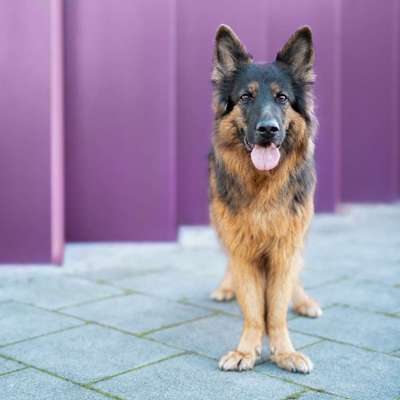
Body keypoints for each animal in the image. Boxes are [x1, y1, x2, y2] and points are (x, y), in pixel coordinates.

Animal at [209, 25, 322, 376]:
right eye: (246, 97)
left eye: (282, 98)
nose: (268, 129)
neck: (263, 184)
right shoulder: (243, 249)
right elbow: (254, 309)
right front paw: (246, 350)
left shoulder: (285, 248)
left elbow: (276, 310)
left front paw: (285, 352)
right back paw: (225, 287)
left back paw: (304, 301)